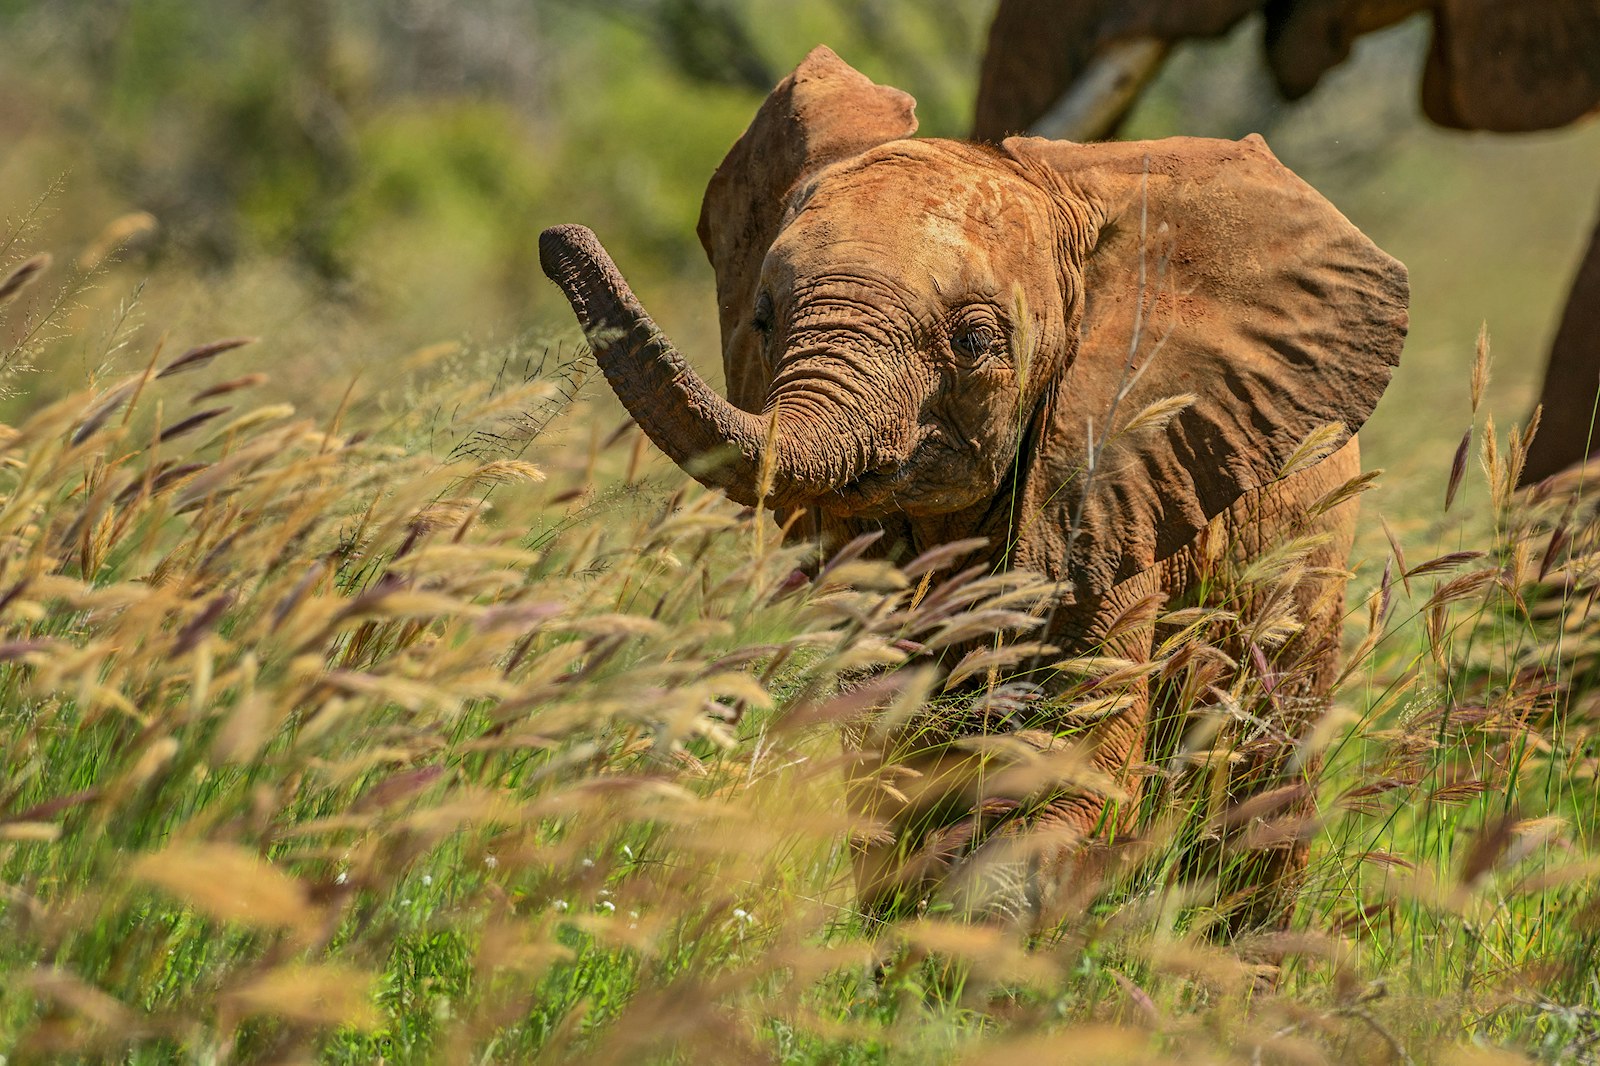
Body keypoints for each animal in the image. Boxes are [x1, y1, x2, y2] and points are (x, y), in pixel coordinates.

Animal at [540, 47, 1414, 928]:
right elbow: (895, 780)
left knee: (1265, 764)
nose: (556, 238)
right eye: (762, 318)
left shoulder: (1110, 488)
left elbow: (1075, 774)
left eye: (974, 341)